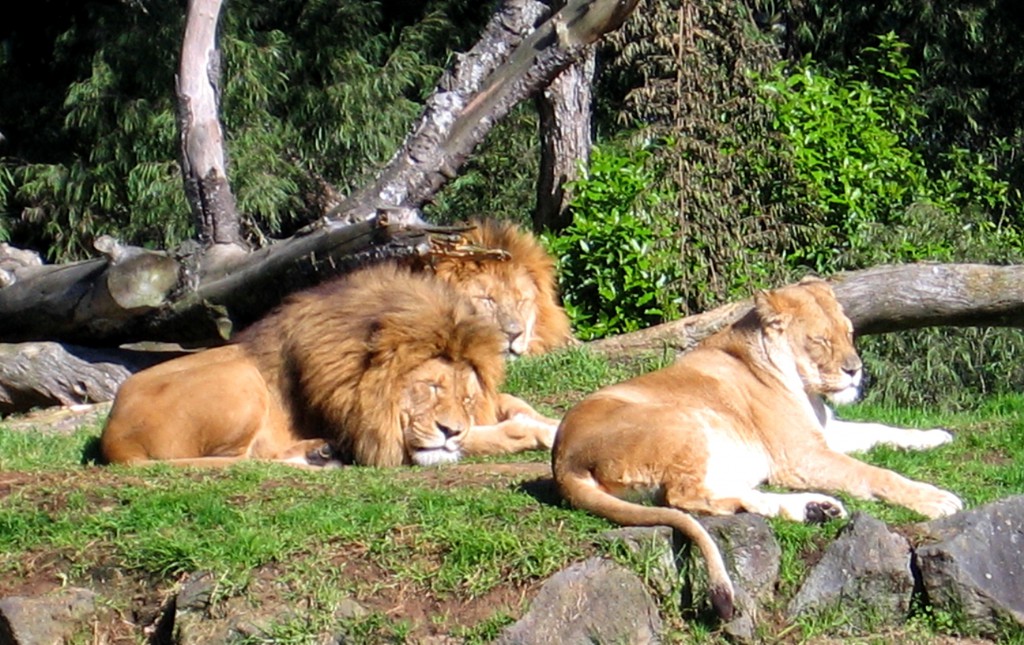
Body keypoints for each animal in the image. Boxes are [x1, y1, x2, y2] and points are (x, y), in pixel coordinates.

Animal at [99, 262, 557, 470]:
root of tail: (111, 436)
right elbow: (494, 434)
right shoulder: (386, 438)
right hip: (243, 382)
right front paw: (539, 434)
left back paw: (319, 452)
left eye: (465, 397)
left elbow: (514, 405)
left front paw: (549, 420)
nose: (450, 429)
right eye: (429, 387)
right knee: (246, 458)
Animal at [552, 278, 958, 622]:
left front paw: (935, 436)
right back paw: (813, 508)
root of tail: (563, 460)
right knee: (686, 497)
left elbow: (880, 429)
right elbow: (874, 474)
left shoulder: (825, 432)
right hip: (686, 419)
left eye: (849, 333)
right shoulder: (801, 456)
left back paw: (816, 508)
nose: (855, 371)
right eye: (820, 340)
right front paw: (936, 499)